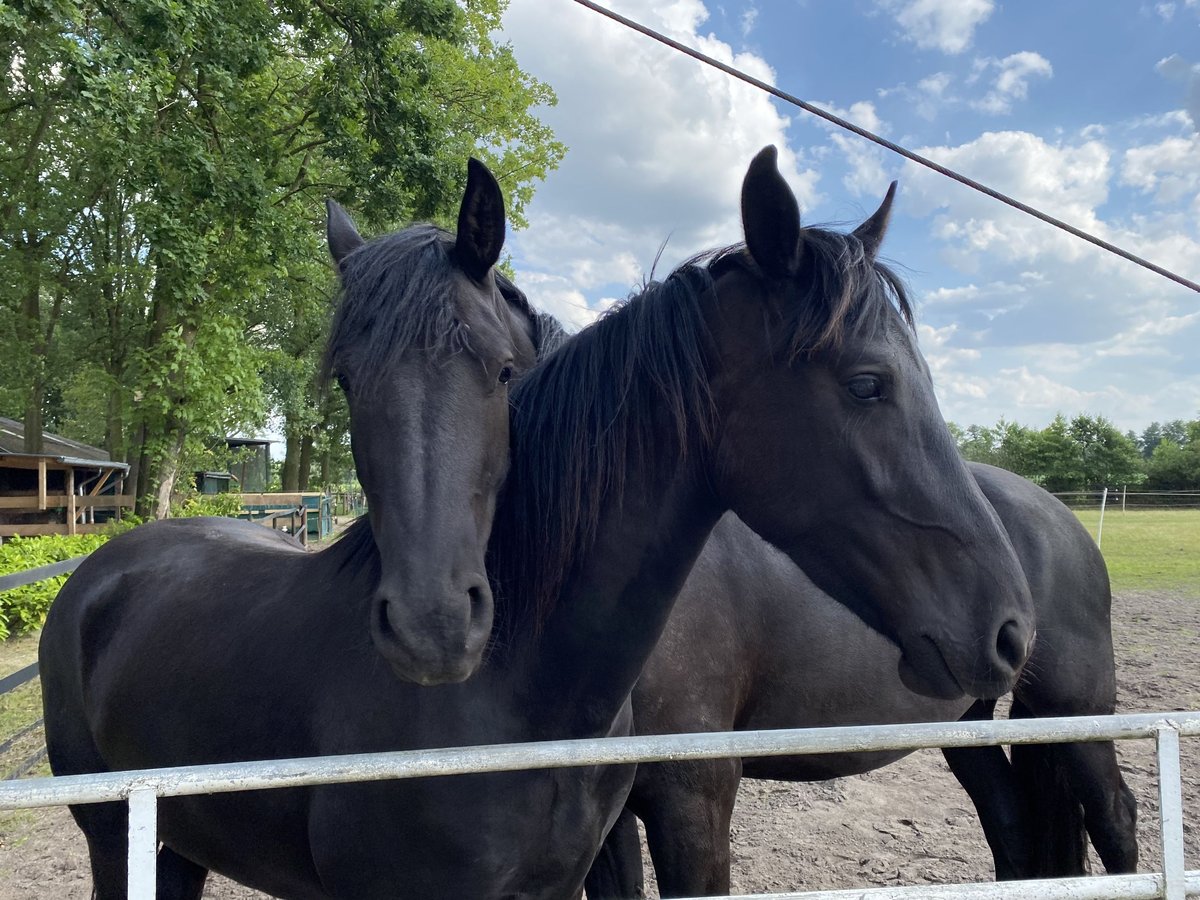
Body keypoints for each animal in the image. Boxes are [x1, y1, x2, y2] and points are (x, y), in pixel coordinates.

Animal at [35, 144, 1032, 897]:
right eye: (867, 383)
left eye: (508, 371)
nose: (1009, 628)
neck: (527, 705)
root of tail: (104, 568)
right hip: (113, 838)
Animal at [585, 460, 1137, 897]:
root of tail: (1054, 512)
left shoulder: (691, 795)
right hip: (969, 727)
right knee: (1011, 819)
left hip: (1073, 712)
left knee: (1115, 818)